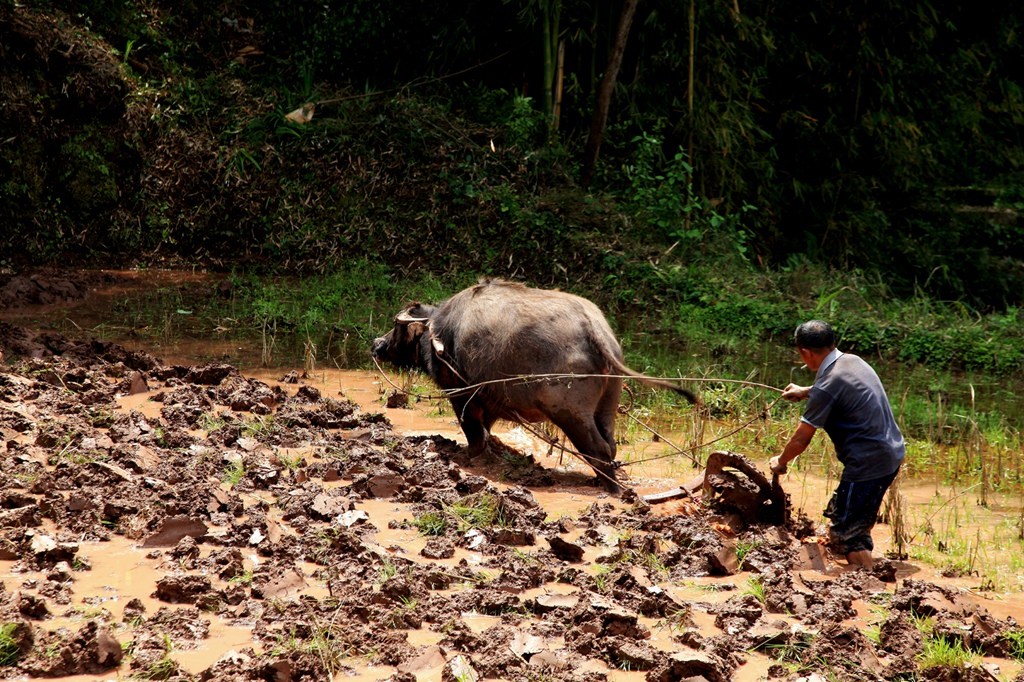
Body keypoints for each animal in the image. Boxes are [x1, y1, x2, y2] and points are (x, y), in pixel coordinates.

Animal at [368, 278, 696, 491]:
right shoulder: (491, 400)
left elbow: (473, 432)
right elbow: (486, 431)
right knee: (611, 447)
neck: (438, 332)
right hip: (607, 406)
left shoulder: (461, 394)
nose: (377, 344)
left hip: (569, 413)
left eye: (397, 327)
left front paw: (467, 455)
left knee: (598, 449)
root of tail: (594, 330)